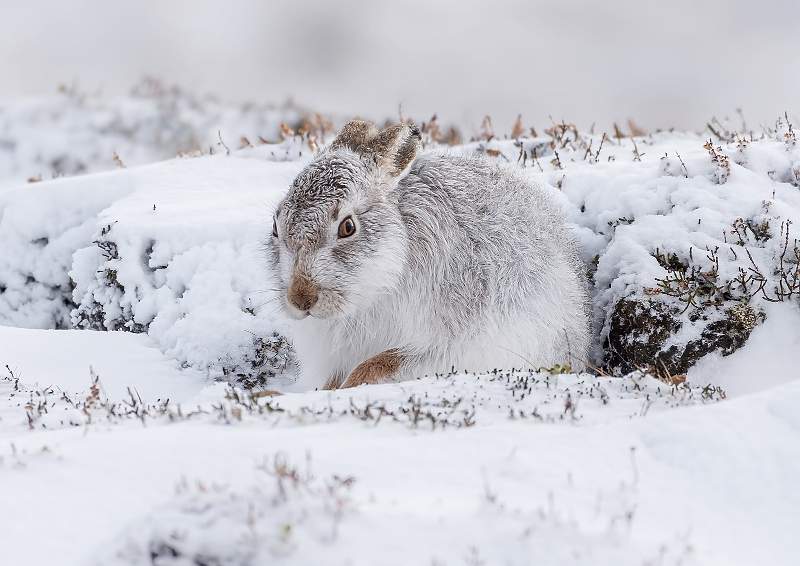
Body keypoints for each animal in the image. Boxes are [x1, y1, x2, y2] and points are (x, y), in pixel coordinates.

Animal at [267, 119, 590, 390]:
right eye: (275, 226)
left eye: (348, 227)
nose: (300, 298)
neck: (378, 284)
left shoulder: (449, 341)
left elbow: (382, 364)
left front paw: (352, 384)